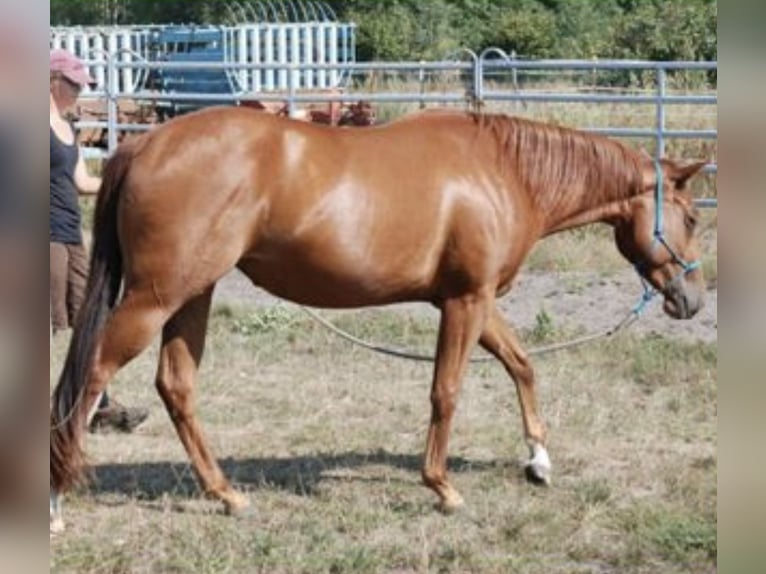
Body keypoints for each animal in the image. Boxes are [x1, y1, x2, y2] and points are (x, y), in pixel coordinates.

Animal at [48, 108, 708, 532]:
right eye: (693, 218)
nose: (693, 299)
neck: (504, 170)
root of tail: (144, 145)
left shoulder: (474, 301)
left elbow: (522, 366)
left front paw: (538, 461)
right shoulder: (466, 302)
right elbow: (447, 391)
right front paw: (442, 488)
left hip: (192, 295)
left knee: (176, 386)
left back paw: (226, 495)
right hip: (156, 297)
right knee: (92, 376)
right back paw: (55, 500)